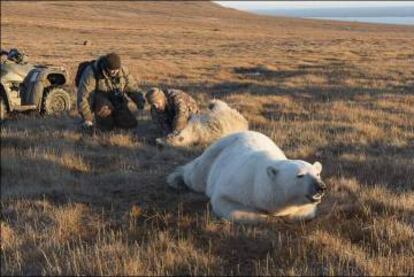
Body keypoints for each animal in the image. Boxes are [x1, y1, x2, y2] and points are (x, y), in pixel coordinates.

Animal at [167, 130, 326, 223]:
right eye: (300, 175)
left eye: (317, 173)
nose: (321, 187)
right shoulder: (240, 183)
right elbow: (225, 203)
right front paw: (266, 217)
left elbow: (306, 212)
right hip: (213, 155)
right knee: (195, 176)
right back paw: (176, 179)